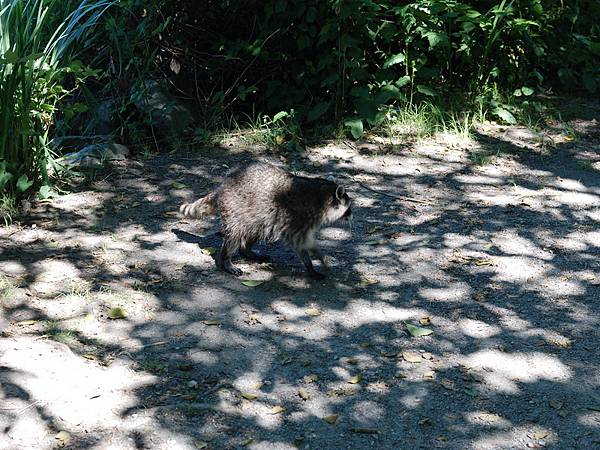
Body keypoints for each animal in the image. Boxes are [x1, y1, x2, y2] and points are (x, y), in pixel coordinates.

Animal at [180, 163, 354, 278]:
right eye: (349, 207)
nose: (352, 215)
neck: (321, 195)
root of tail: (223, 187)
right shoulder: (299, 218)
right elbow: (302, 242)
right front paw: (315, 261)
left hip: (256, 216)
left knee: (254, 231)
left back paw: (246, 250)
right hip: (235, 209)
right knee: (234, 236)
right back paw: (225, 259)